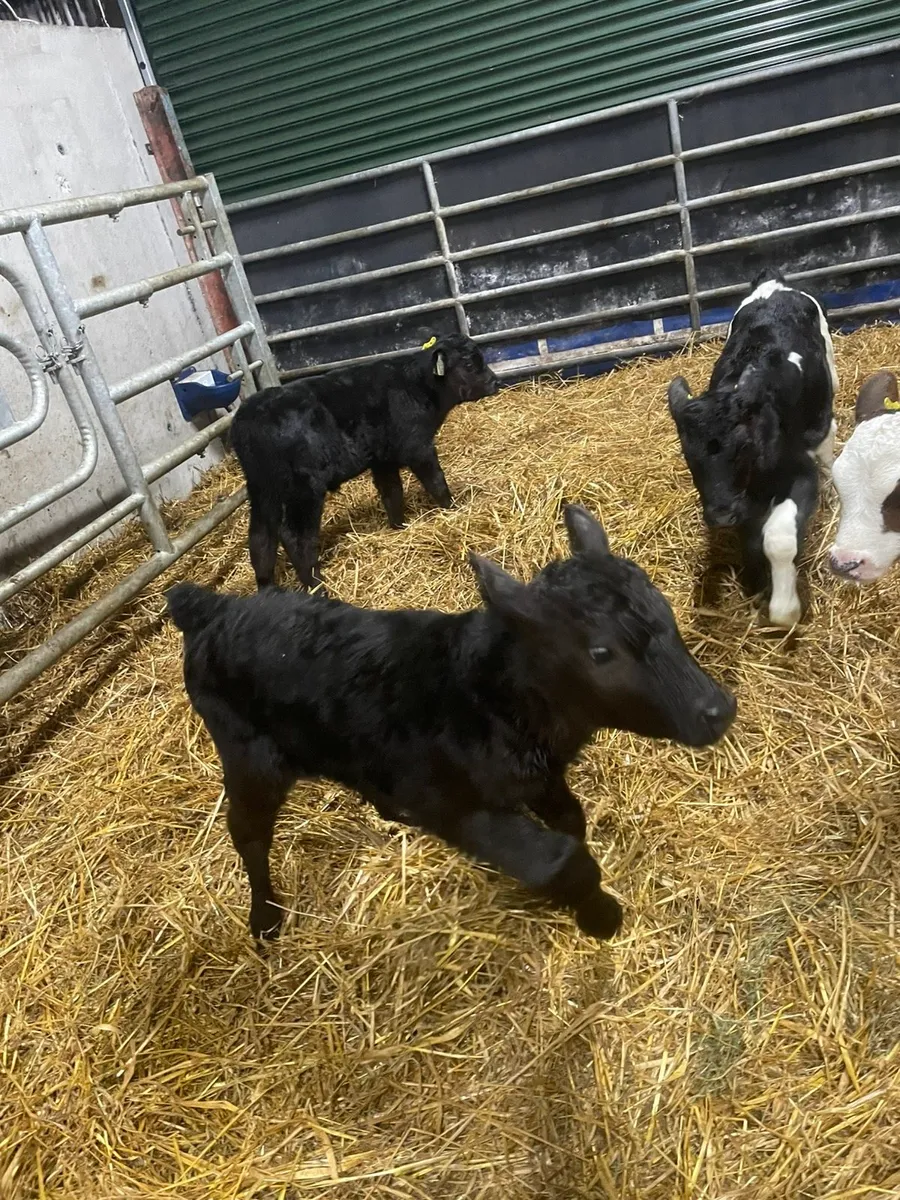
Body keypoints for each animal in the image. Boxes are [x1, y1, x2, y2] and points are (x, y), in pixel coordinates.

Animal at [166, 505, 736, 943]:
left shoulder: (539, 776)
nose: (716, 709)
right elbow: (557, 858)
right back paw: (264, 918)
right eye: (600, 652)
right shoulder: (452, 803)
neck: (485, 691)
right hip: (247, 754)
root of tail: (212, 607)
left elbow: (571, 820)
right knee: (247, 832)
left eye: (664, 605)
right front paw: (600, 915)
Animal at [230, 335, 499, 593]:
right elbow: (436, 482)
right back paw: (318, 587)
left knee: (261, 538)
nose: (495, 382)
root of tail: (247, 419)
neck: (416, 387)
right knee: (295, 537)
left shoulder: (383, 459)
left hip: (263, 491)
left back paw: (267, 588)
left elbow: (392, 493)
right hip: (303, 489)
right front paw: (453, 510)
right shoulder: (418, 448)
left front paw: (399, 526)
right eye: (468, 364)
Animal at [666, 273, 837, 627]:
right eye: (688, 456)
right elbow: (751, 537)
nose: (720, 515)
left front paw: (785, 608)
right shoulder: (742, 498)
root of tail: (775, 281)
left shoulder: (801, 473)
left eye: (743, 446)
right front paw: (754, 582)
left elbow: (779, 537)